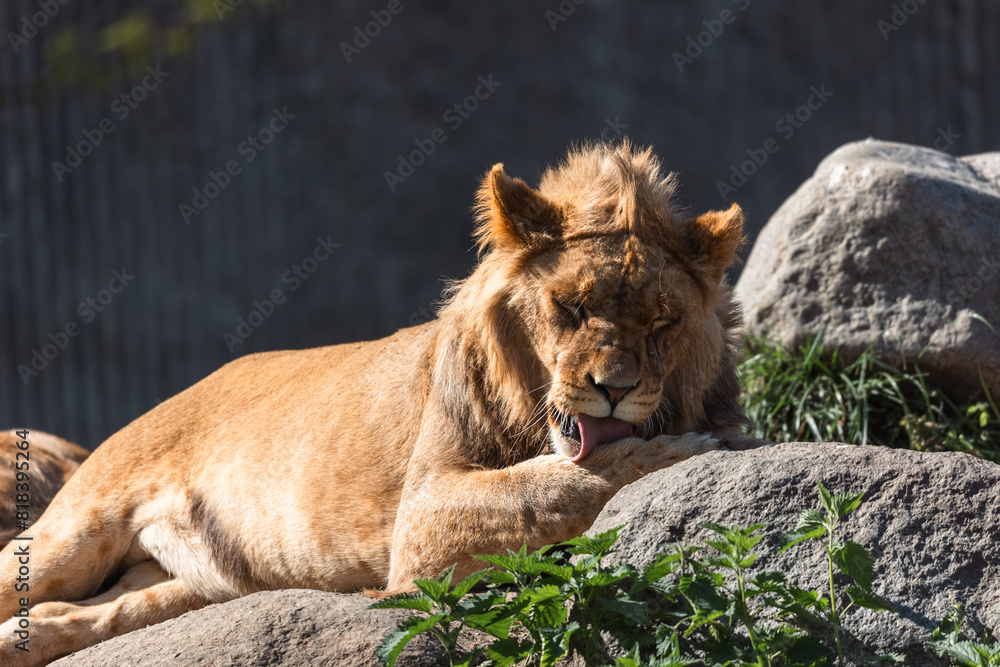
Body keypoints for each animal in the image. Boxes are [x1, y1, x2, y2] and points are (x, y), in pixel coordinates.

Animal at [0, 140, 762, 664]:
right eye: (570, 307)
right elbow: (549, 484)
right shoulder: (421, 520)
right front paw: (671, 450)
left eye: (663, 322)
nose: (617, 388)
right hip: (75, 531)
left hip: (192, 585)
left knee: (86, 615)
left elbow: (555, 478)